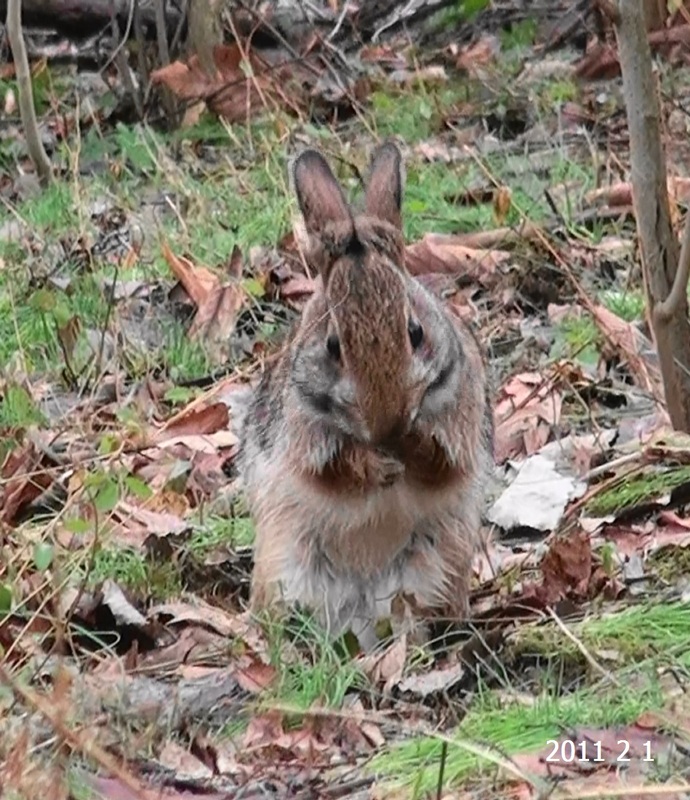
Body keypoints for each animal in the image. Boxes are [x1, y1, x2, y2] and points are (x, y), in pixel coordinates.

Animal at [236, 141, 493, 651]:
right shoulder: (303, 439)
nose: (387, 423)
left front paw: (410, 451)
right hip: (287, 563)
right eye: (333, 346)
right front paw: (381, 466)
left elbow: (441, 464)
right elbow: (335, 471)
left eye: (416, 333)